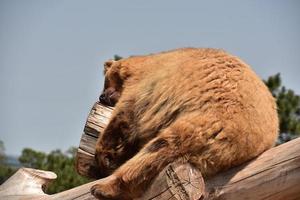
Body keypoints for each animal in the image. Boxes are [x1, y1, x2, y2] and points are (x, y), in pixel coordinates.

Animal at [90, 47, 278, 199]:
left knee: (158, 149)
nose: (102, 96)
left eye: (105, 82)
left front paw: (104, 158)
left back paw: (103, 188)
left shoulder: (146, 86)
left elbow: (126, 115)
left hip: (206, 122)